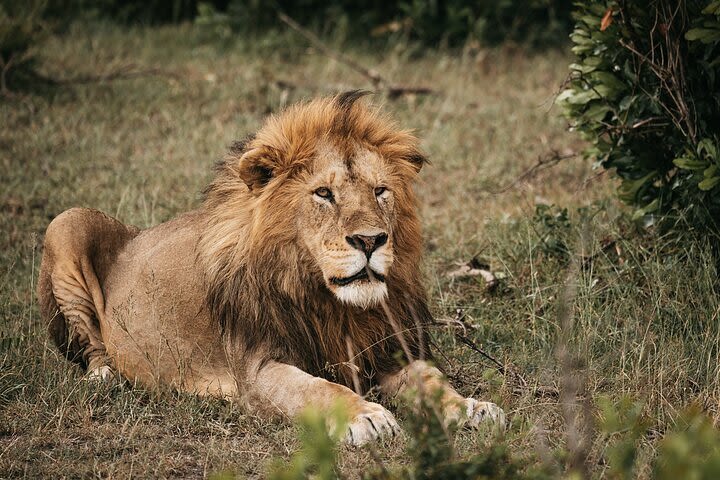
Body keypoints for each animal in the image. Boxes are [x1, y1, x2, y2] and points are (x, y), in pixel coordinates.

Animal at [36, 91, 504, 446]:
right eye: (324, 194)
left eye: (380, 191)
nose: (371, 241)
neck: (332, 304)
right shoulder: (258, 368)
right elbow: (319, 388)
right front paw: (366, 417)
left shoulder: (392, 350)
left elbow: (433, 380)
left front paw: (472, 407)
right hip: (66, 223)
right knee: (92, 348)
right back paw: (106, 376)